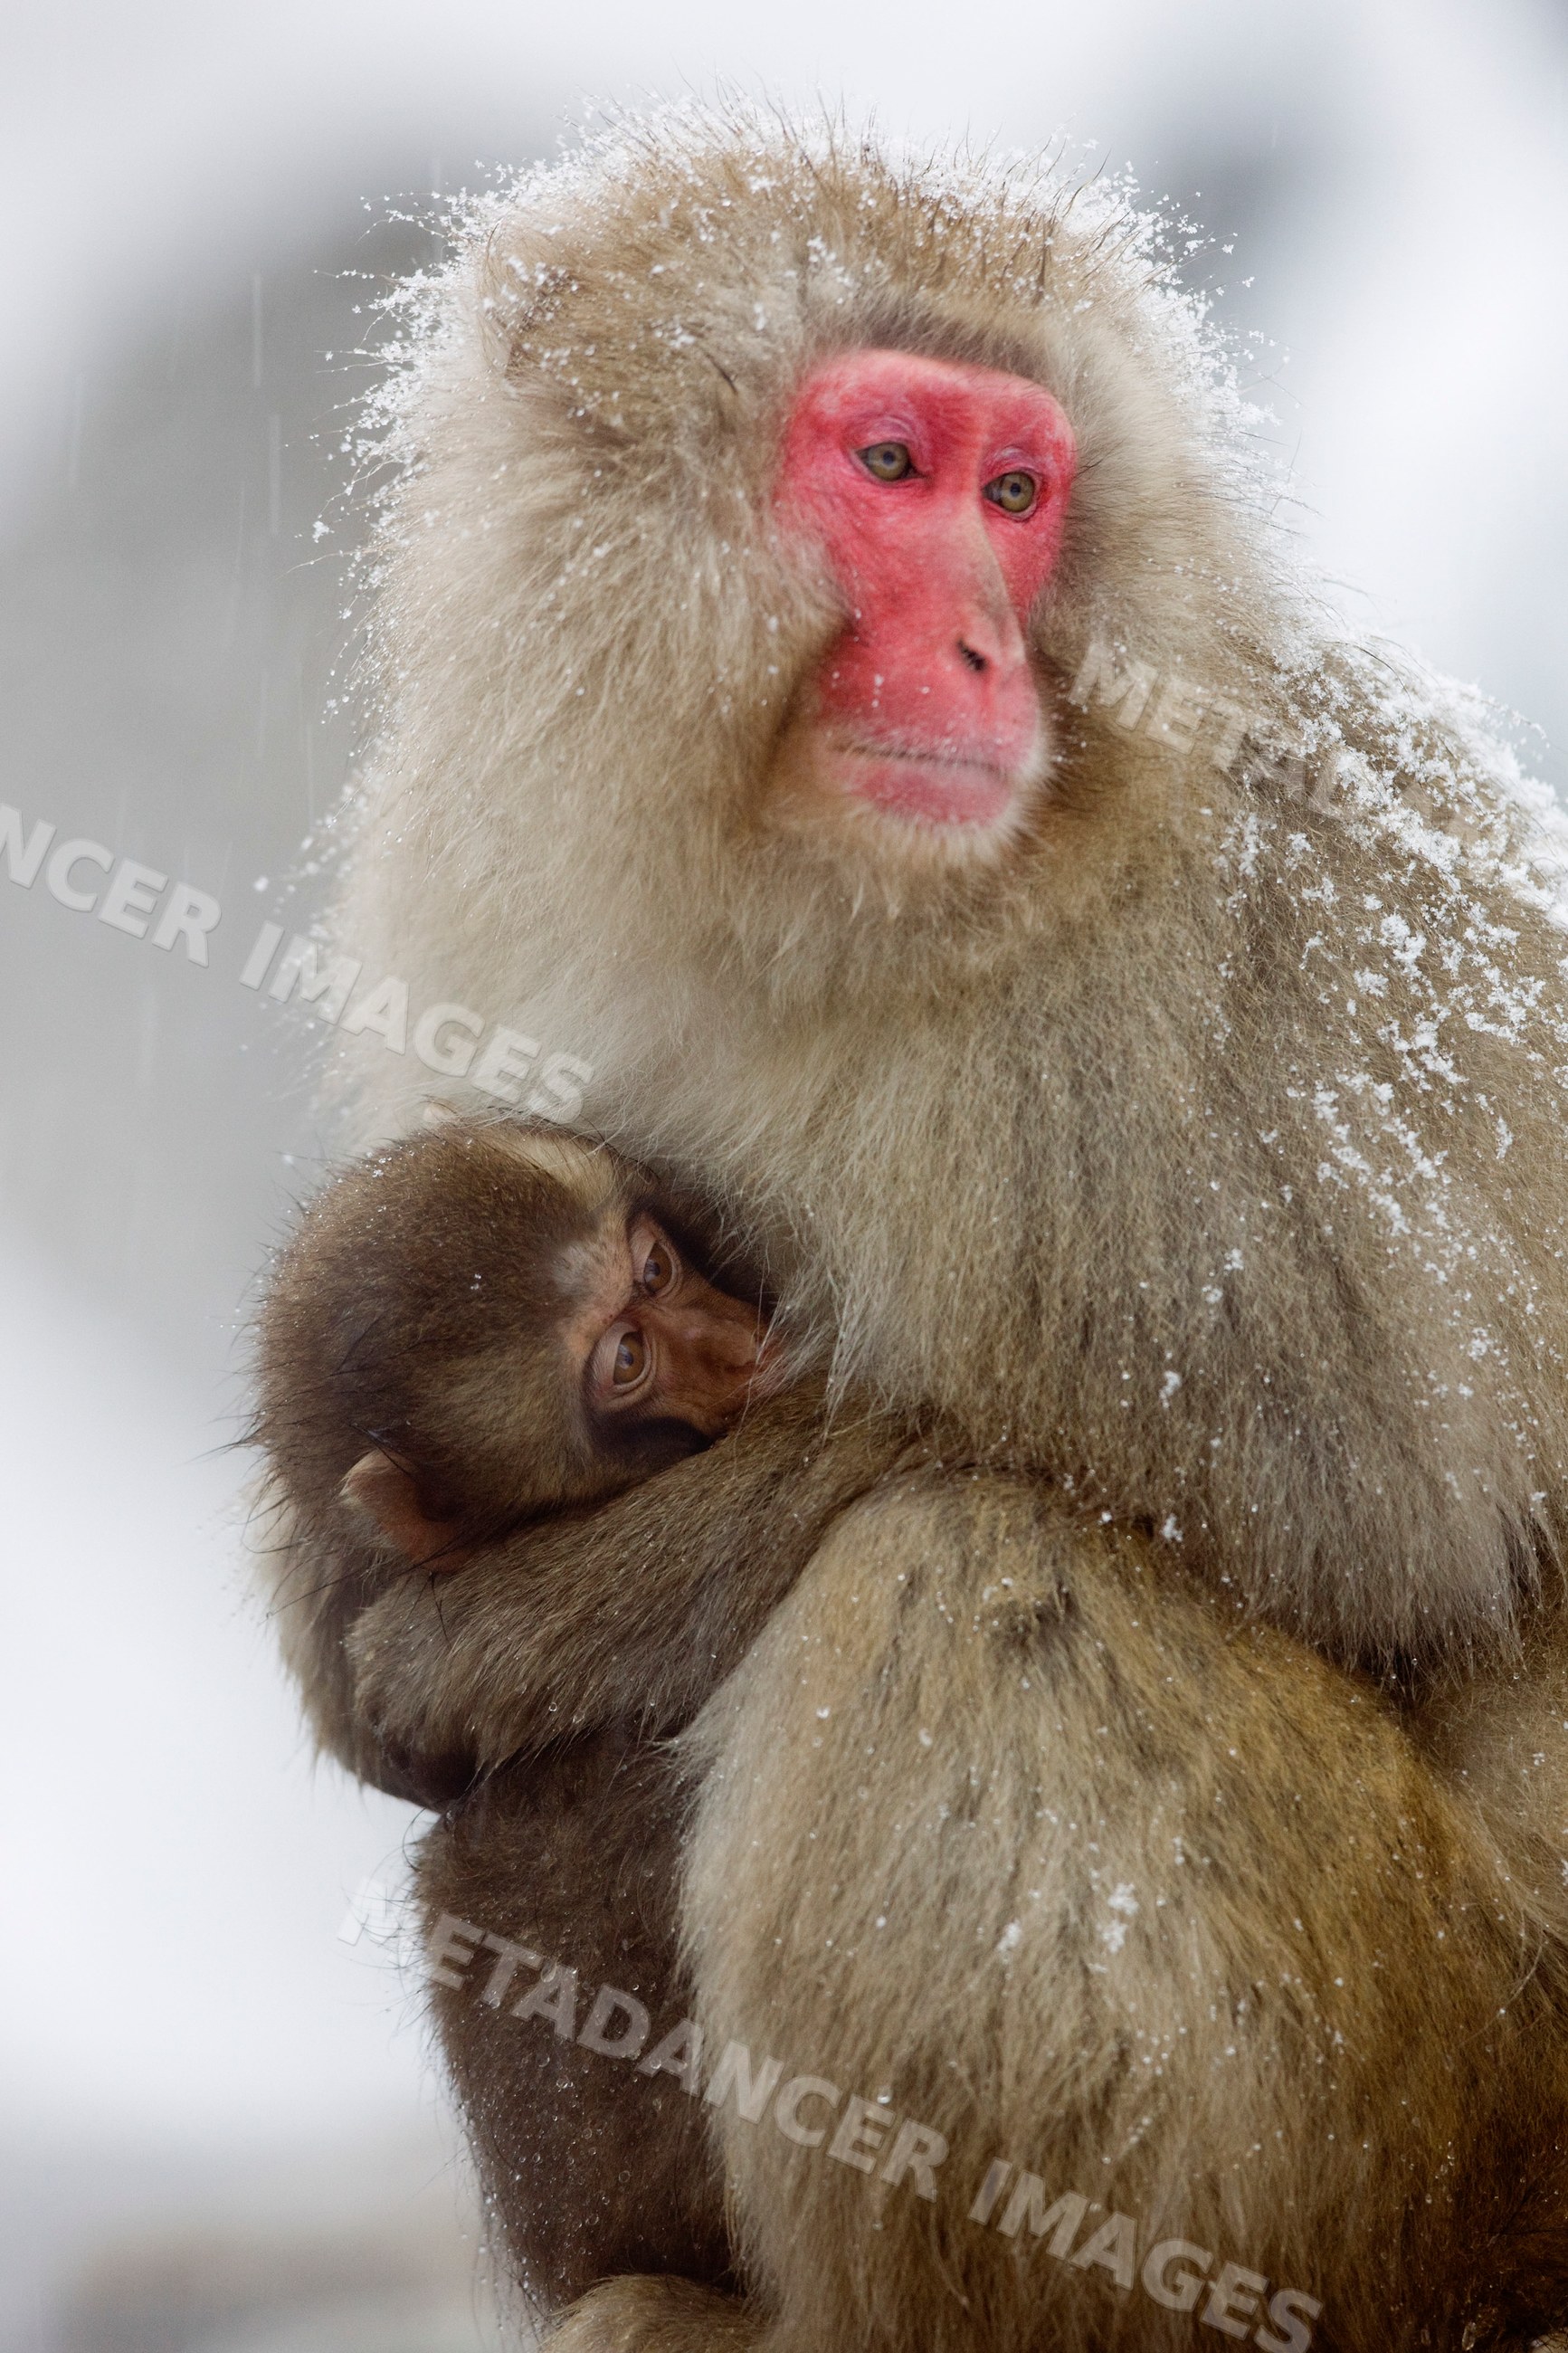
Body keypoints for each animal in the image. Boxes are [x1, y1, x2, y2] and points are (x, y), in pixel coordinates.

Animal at [255, 112, 1568, 2347]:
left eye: (1014, 498)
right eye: (889, 465)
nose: (978, 652)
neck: (852, 914)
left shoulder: (1197, 1029)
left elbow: (1344, 1526)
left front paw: (458, 1647)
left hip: (1428, 2121)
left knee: (955, 1589)